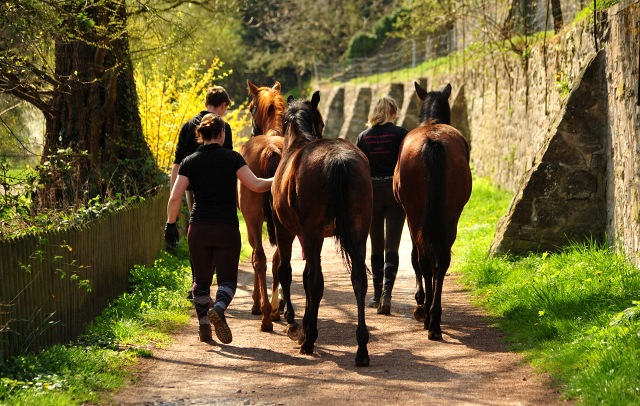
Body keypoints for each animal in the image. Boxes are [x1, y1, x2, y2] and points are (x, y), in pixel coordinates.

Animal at [272, 93, 372, 366]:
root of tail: (337, 158)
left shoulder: (287, 231)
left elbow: (288, 272)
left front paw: (295, 321)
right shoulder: (309, 237)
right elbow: (306, 276)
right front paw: (305, 321)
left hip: (312, 233)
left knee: (316, 282)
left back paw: (309, 341)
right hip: (358, 232)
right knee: (359, 280)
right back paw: (361, 347)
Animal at [392, 81, 472, 340]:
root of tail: (433, 141)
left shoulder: (409, 215)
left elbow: (414, 257)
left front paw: (420, 300)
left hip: (416, 214)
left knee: (425, 259)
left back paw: (428, 316)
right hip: (450, 215)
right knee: (442, 259)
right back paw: (435, 318)